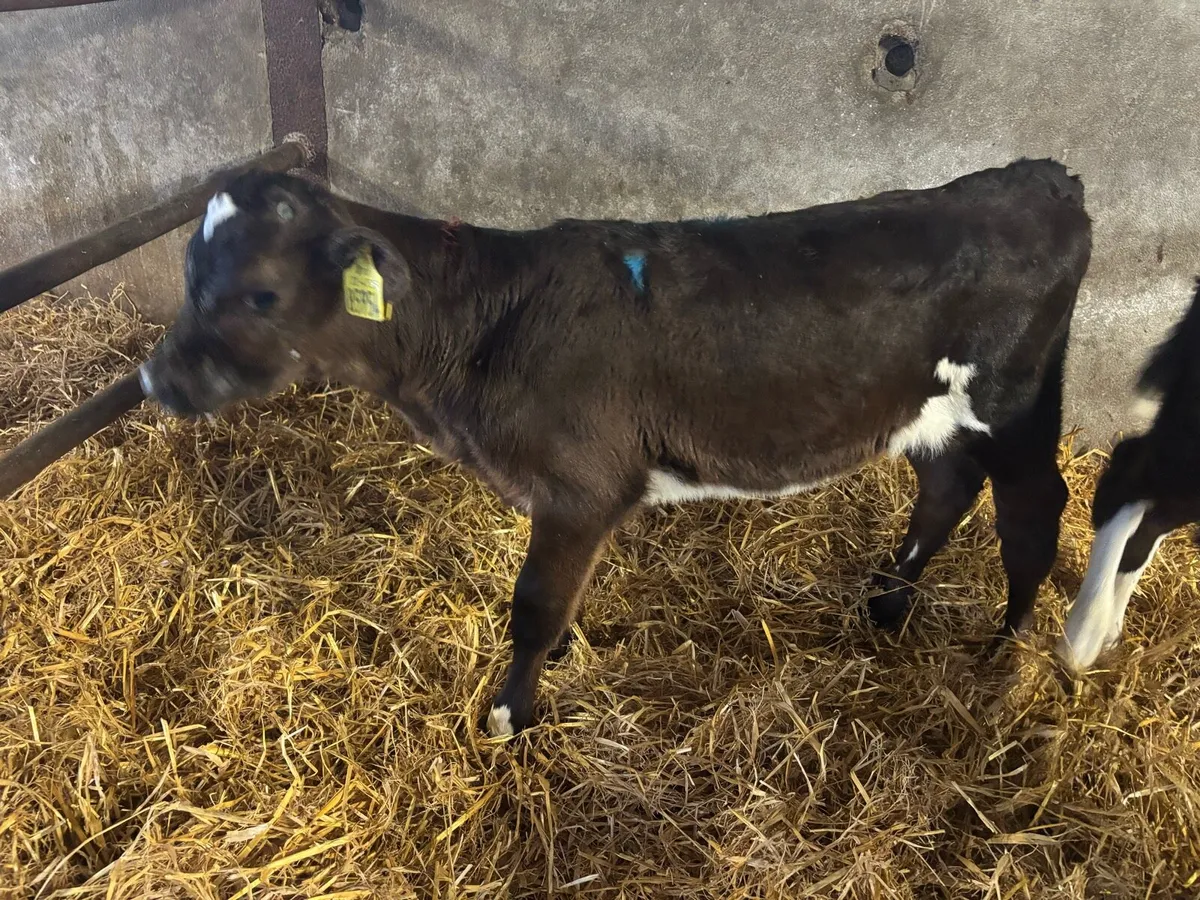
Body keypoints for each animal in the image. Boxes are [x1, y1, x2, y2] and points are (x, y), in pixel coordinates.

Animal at [138, 159, 1092, 736]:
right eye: (188, 274)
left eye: (262, 293)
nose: (158, 379)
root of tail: (1041, 180)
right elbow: (563, 602)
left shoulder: (580, 487)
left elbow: (533, 606)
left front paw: (508, 717)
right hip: (928, 411)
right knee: (947, 486)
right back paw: (889, 604)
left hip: (1016, 404)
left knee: (1034, 509)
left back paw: (1005, 651)